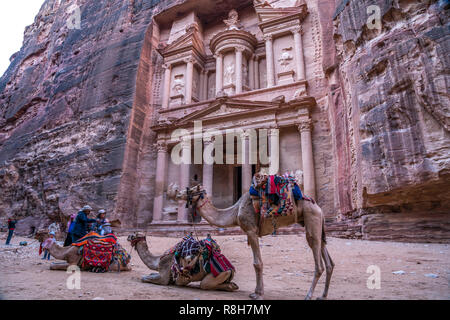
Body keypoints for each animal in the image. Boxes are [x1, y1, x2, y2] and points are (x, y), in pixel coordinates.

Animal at [172, 172, 334, 300]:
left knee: (318, 260)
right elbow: (257, 262)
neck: (235, 211)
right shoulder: (251, 232)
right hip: (315, 224)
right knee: (328, 260)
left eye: (191, 189)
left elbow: (257, 263)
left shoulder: (251, 230)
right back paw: (323, 295)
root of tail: (319, 208)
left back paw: (309, 295)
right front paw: (257, 291)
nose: (178, 193)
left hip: (311, 219)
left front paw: (258, 294)